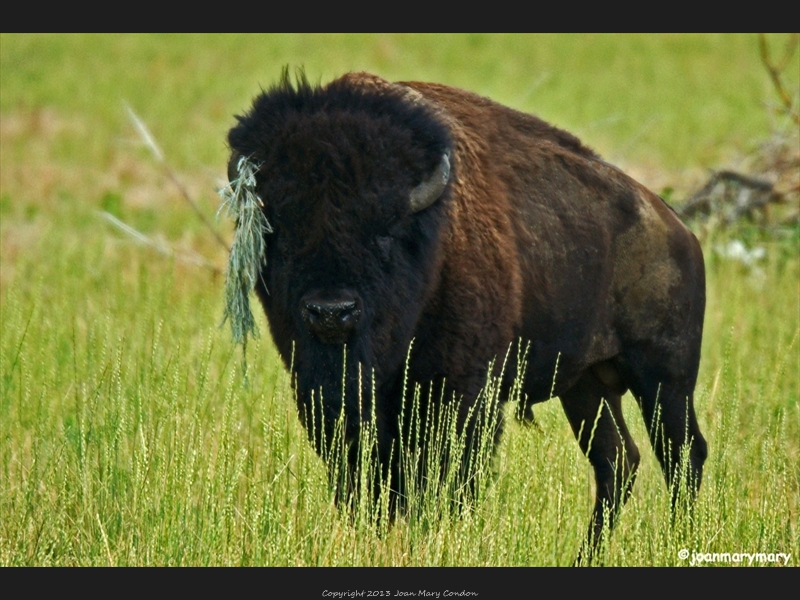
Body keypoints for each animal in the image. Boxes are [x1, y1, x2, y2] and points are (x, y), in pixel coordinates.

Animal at [219, 69, 708, 548]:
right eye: (279, 232)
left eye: (385, 229)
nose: (332, 311)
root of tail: (676, 227)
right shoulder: (329, 395)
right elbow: (365, 473)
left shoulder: (462, 394)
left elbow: (449, 476)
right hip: (587, 386)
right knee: (617, 459)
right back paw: (587, 554)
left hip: (665, 378)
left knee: (684, 454)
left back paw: (678, 541)